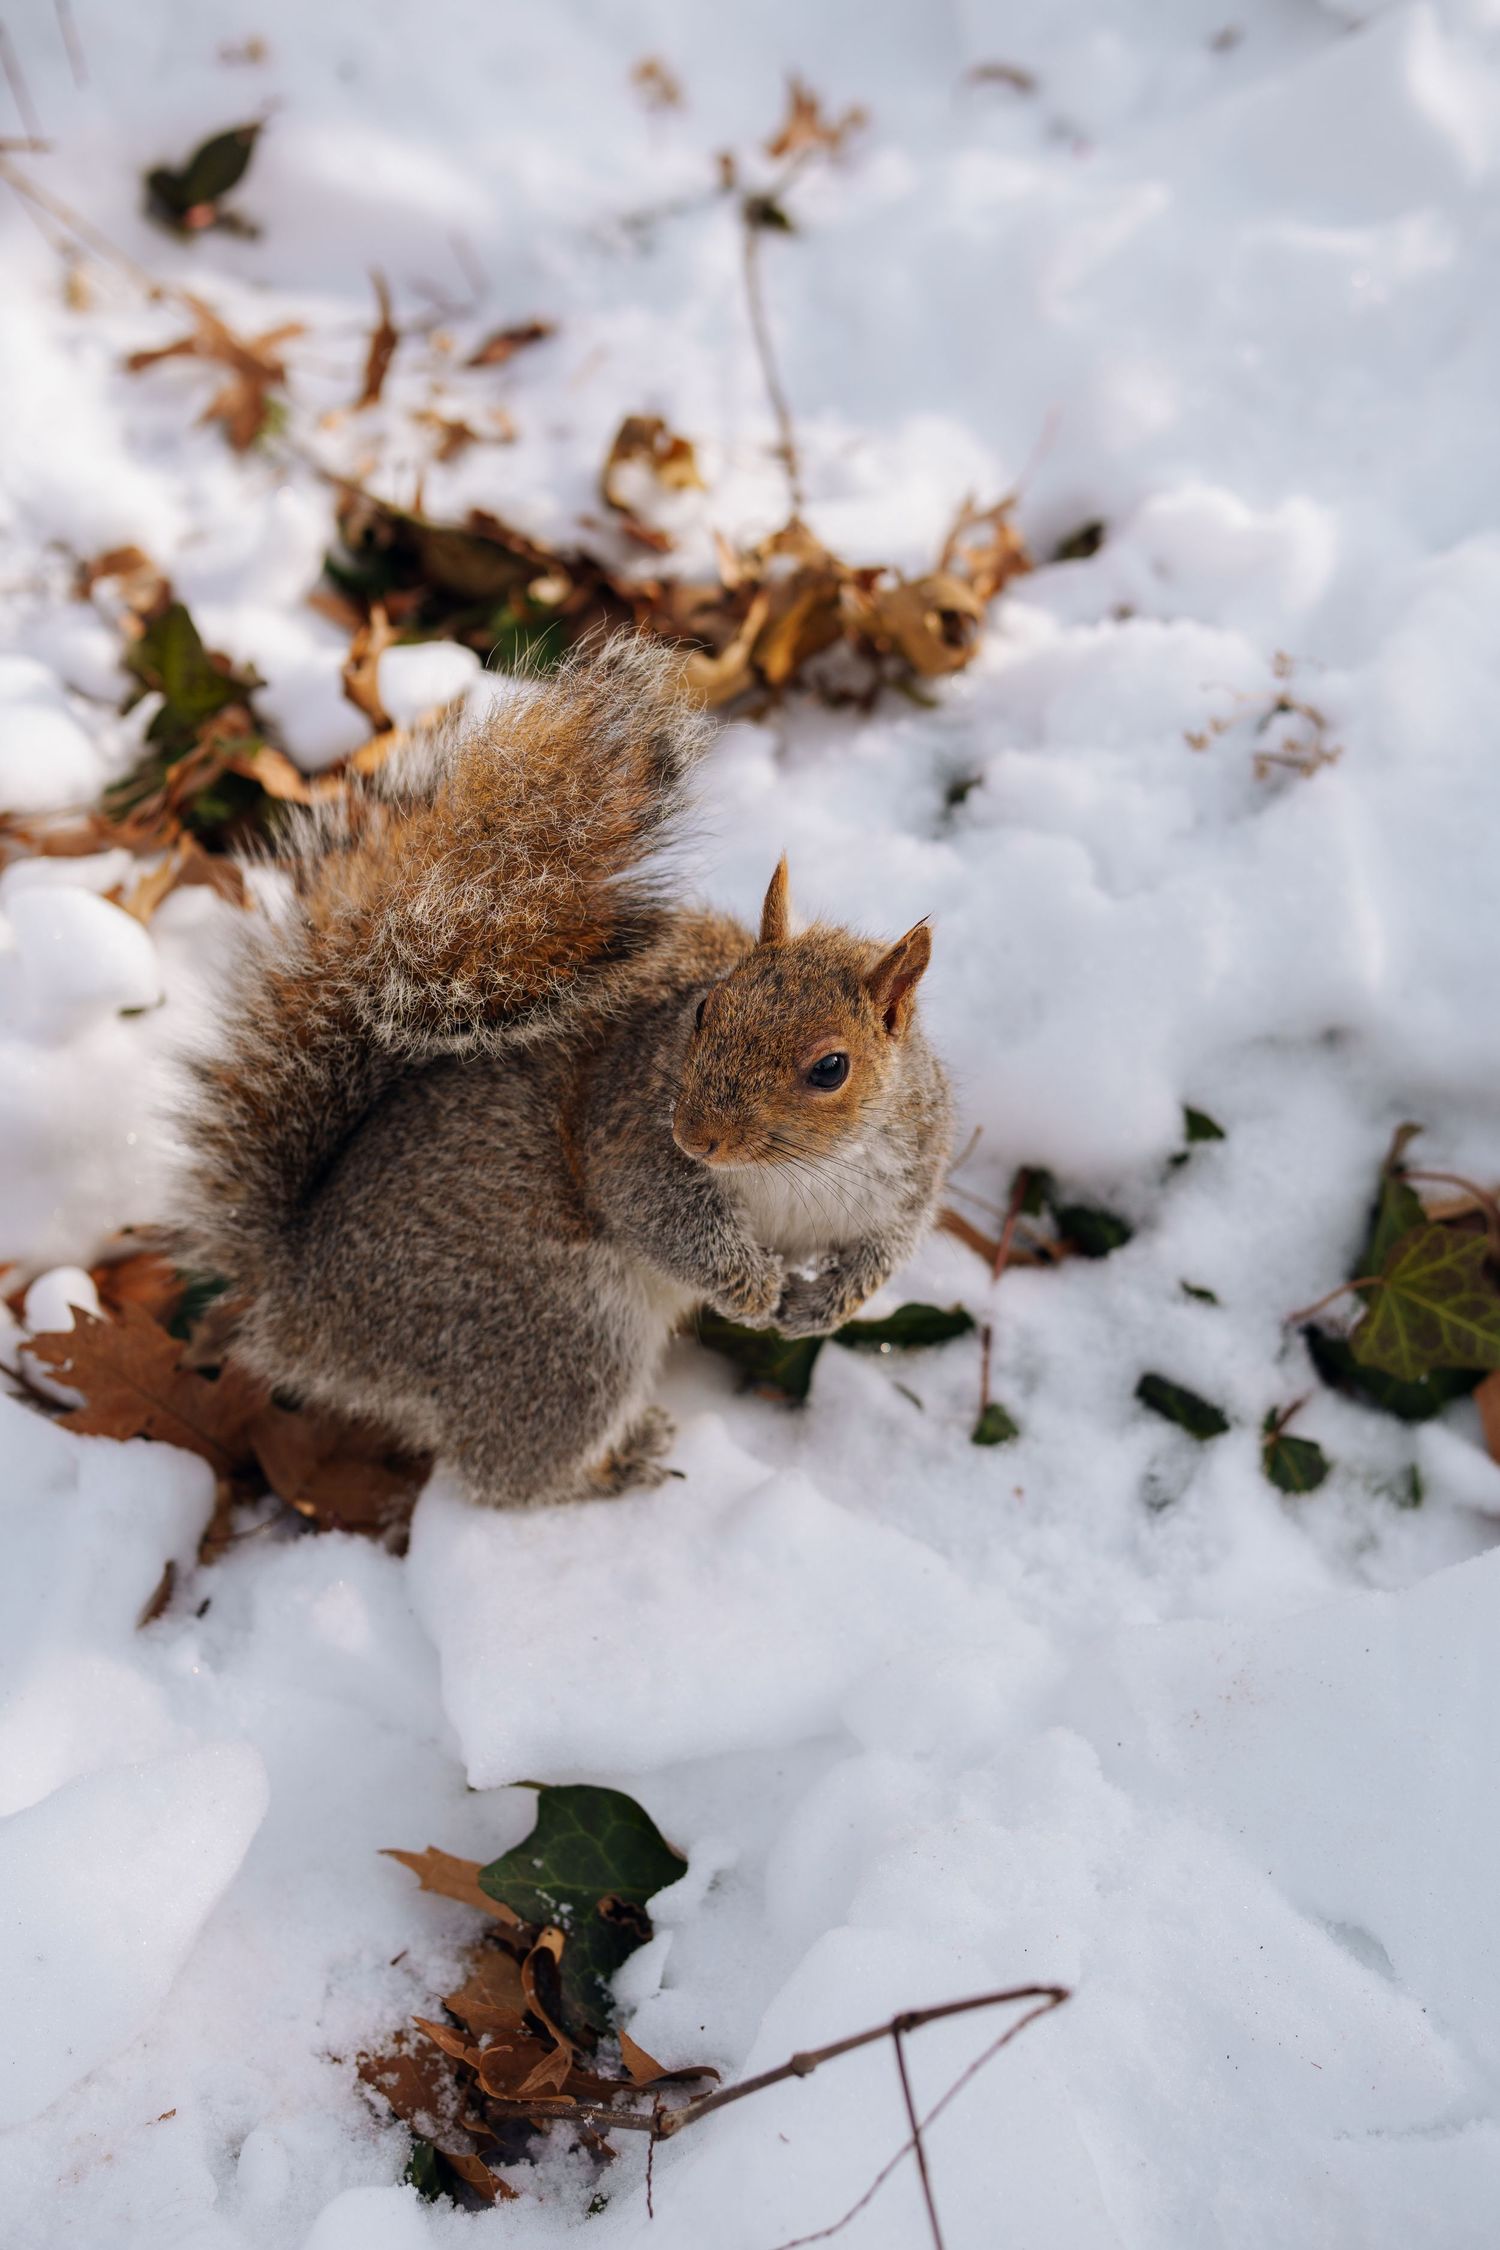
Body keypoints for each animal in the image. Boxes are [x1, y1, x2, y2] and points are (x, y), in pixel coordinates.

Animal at [173, 634, 953, 1509]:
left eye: (831, 1068)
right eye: (705, 1011)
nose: (697, 1137)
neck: (796, 1175)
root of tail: (302, 1305)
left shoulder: (909, 1170)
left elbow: (885, 1251)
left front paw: (822, 1307)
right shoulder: (630, 1130)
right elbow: (660, 1215)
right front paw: (751, 1289)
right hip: (563, 1333)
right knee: (506, 1475)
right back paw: (617, 1465)